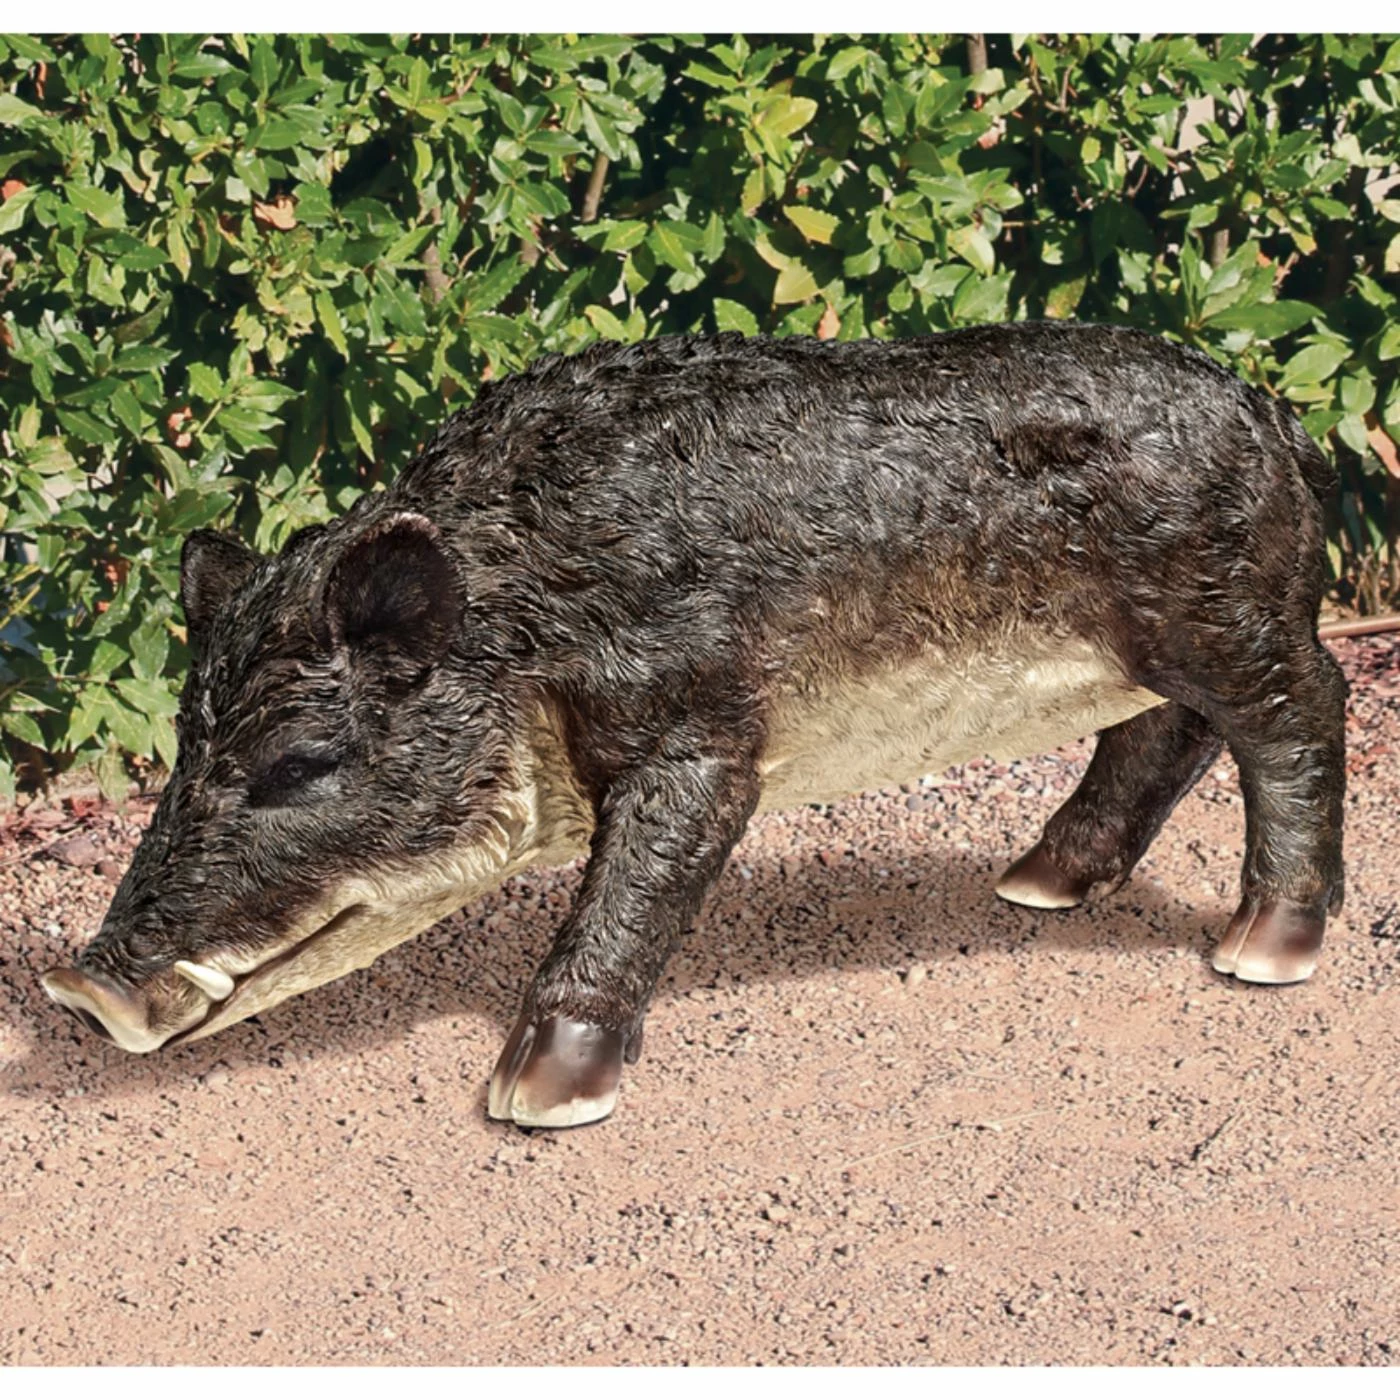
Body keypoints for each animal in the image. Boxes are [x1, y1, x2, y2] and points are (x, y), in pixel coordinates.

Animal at [42, 323, 1346, 1128]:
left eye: (303, 761)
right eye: (184, 755)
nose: (79, 986)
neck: (531, 612)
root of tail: (1274, 417)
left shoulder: (704, 728)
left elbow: (640, 877)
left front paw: (533, 1101)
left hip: (1228, 612)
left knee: (1304, 705)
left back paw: (1258, 953)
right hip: (1151, 647)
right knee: (1162, 734)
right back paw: (1032, 886)